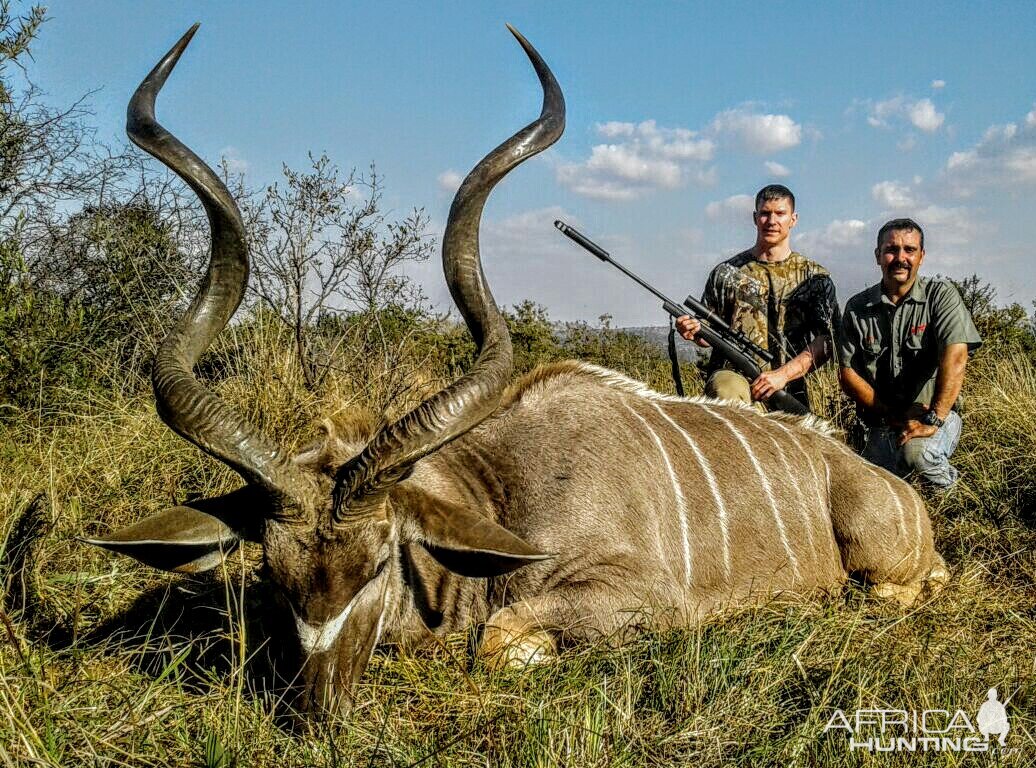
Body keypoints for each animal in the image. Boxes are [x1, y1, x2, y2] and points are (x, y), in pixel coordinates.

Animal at [87, 25, 948, 717]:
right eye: (272, 571)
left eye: (379, 564)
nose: (317, 708)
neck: (502, 491)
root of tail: (892, 487)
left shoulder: (643, 596)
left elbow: (502, 642)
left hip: (882, 554)